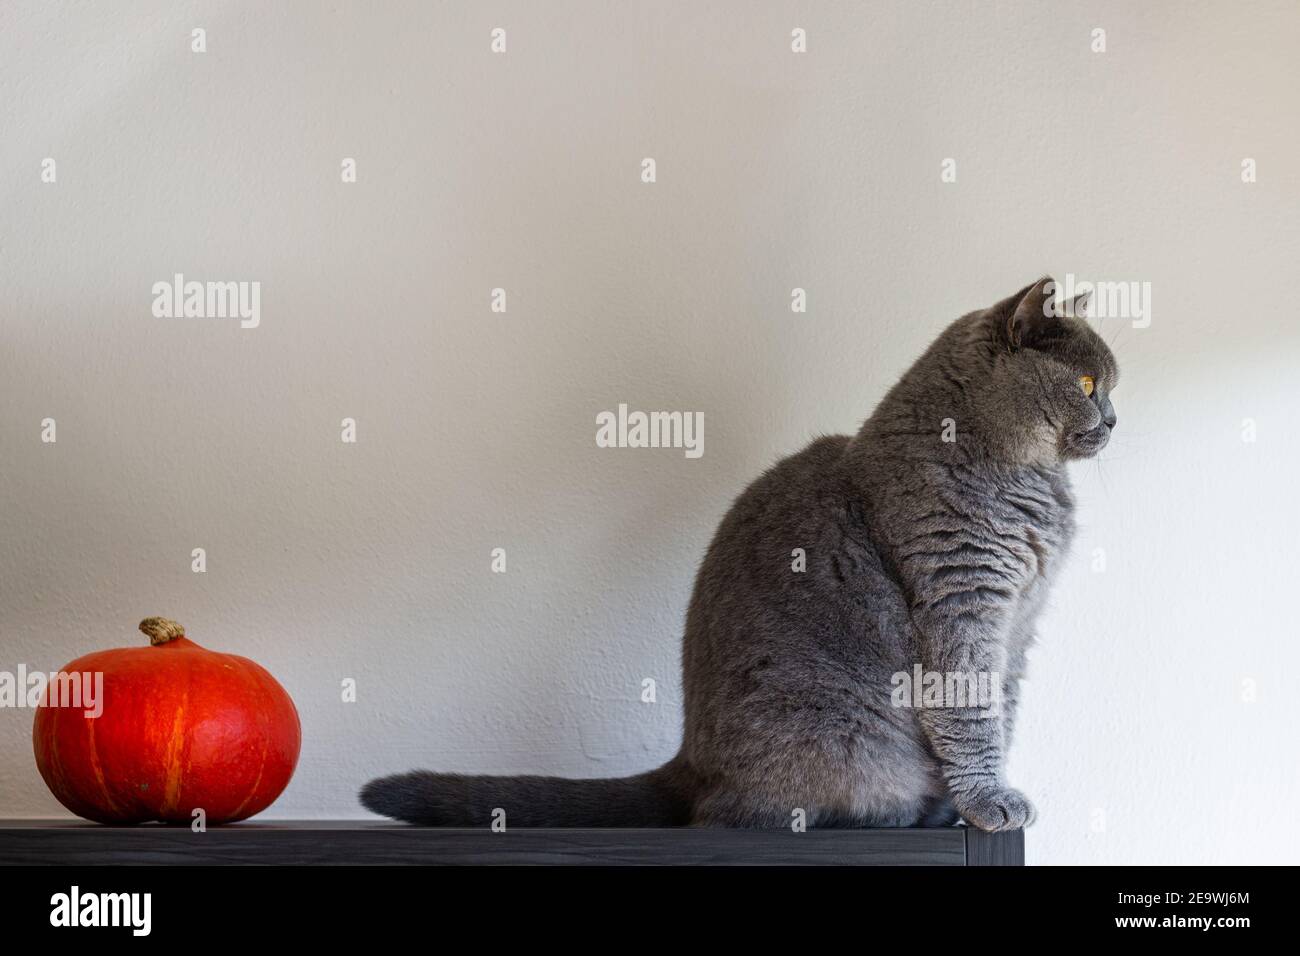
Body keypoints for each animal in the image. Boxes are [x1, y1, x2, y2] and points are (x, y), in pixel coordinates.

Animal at [364, 278, 1118, 832]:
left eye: (1109, 387)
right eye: (1087, 385)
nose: (1114, 418)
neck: (1026, 482)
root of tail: (689, 759)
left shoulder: (1019, 620)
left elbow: (1003, 706)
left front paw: (977, 801)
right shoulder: (962, 600)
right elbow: (970, 713)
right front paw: (990, 803)